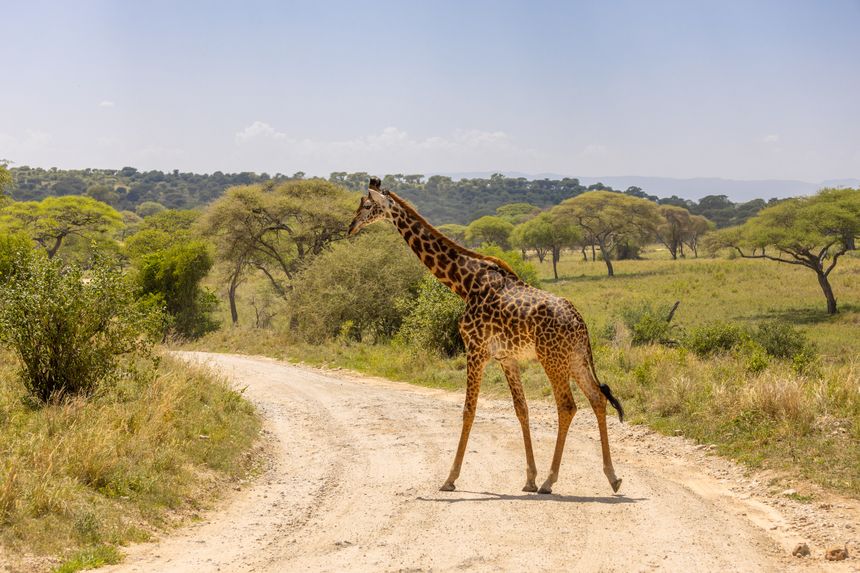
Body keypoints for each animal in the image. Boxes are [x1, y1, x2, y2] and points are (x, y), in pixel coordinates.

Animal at [348, 177, 624, 494]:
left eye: (367, 205)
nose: (350, 227)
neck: (463, 283)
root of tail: (580, 323)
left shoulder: (476, 349)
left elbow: (469, 409)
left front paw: (450, 478)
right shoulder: (506, 357)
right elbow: (521, 409)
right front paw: (528, 478)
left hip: (552, 358)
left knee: (567, 405)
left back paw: (551, 480)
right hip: (576, 358)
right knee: (597, 399)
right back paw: (612, 477)